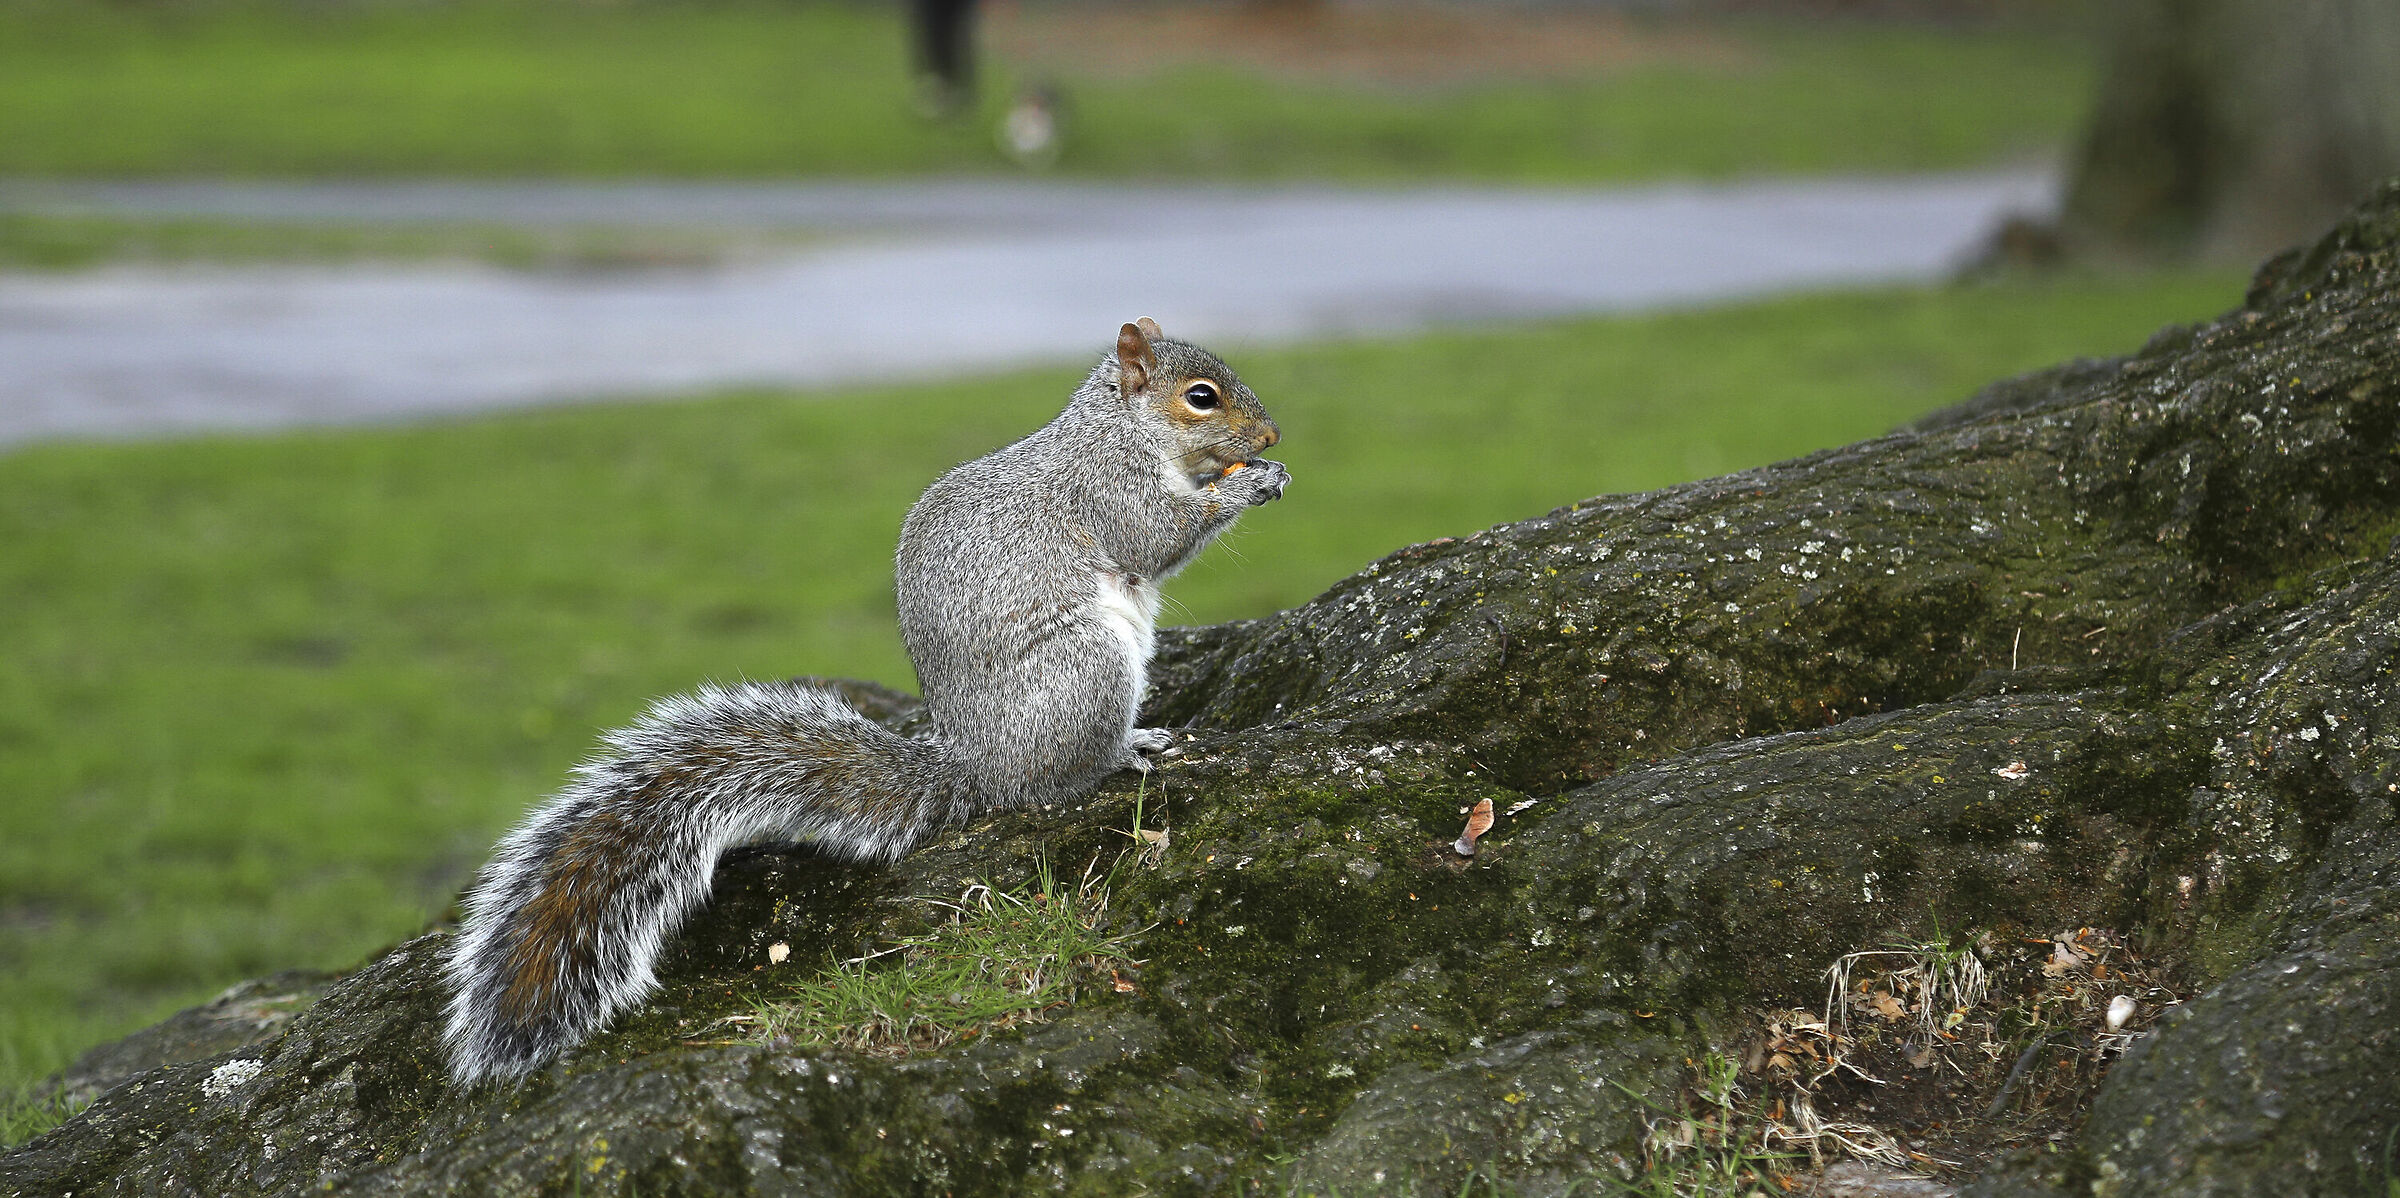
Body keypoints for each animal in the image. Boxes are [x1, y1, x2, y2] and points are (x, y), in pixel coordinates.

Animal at [441, 319, 1288, 1084]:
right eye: (1201, 397)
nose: (1273, 433)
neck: (1120, 426)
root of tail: (979, 766)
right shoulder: (1108, 487)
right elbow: (1158, 536)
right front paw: (1249, 482)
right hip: (1088, 672)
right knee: (1059, 779)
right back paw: (1126, 751)